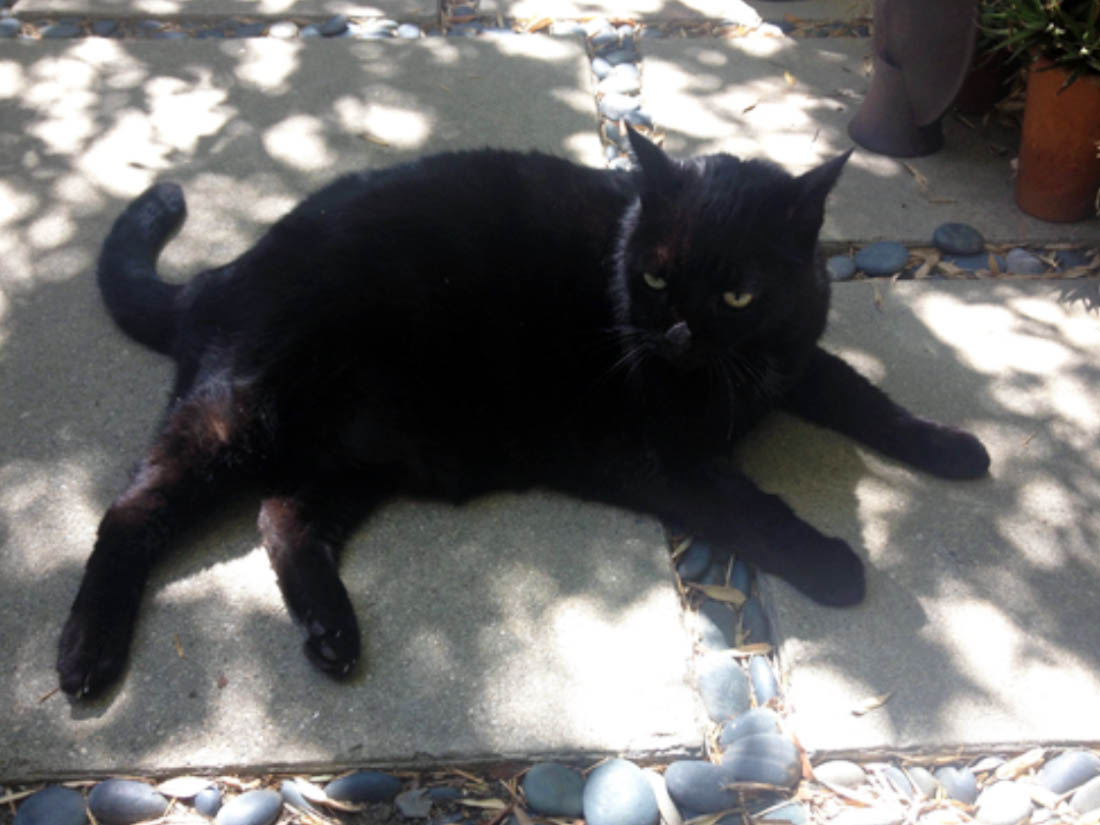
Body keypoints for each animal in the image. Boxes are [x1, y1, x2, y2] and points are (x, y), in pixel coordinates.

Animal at [57, 128, 990, 698]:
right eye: (655, 275)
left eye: (737, 293)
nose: (676, 332)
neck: (735, 375)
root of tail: (218, 277)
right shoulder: (658, 456)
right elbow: (750, 507)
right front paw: (831, 562)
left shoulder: (796, 361)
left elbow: (866, 397)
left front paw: (951, 448)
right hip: (240, 418)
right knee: (131, 510)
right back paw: (88, 650)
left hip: (356, 454)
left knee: (282, 517)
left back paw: (332, 631)